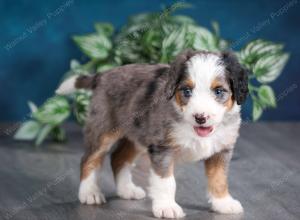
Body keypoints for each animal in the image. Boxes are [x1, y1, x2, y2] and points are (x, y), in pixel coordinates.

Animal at [56, 49, 248, 218]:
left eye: (219, 91)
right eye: (187, 91)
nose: (200, 117)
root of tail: (103, 75)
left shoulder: (221, 150)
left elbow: (219, 179)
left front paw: (223, 203)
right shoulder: (162, 148)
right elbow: (166, 182)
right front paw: (167, 207)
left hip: (136, 136)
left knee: (118, 158)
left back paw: (127, 190)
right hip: (103, 130)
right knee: (89, 159)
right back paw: (89, 193)